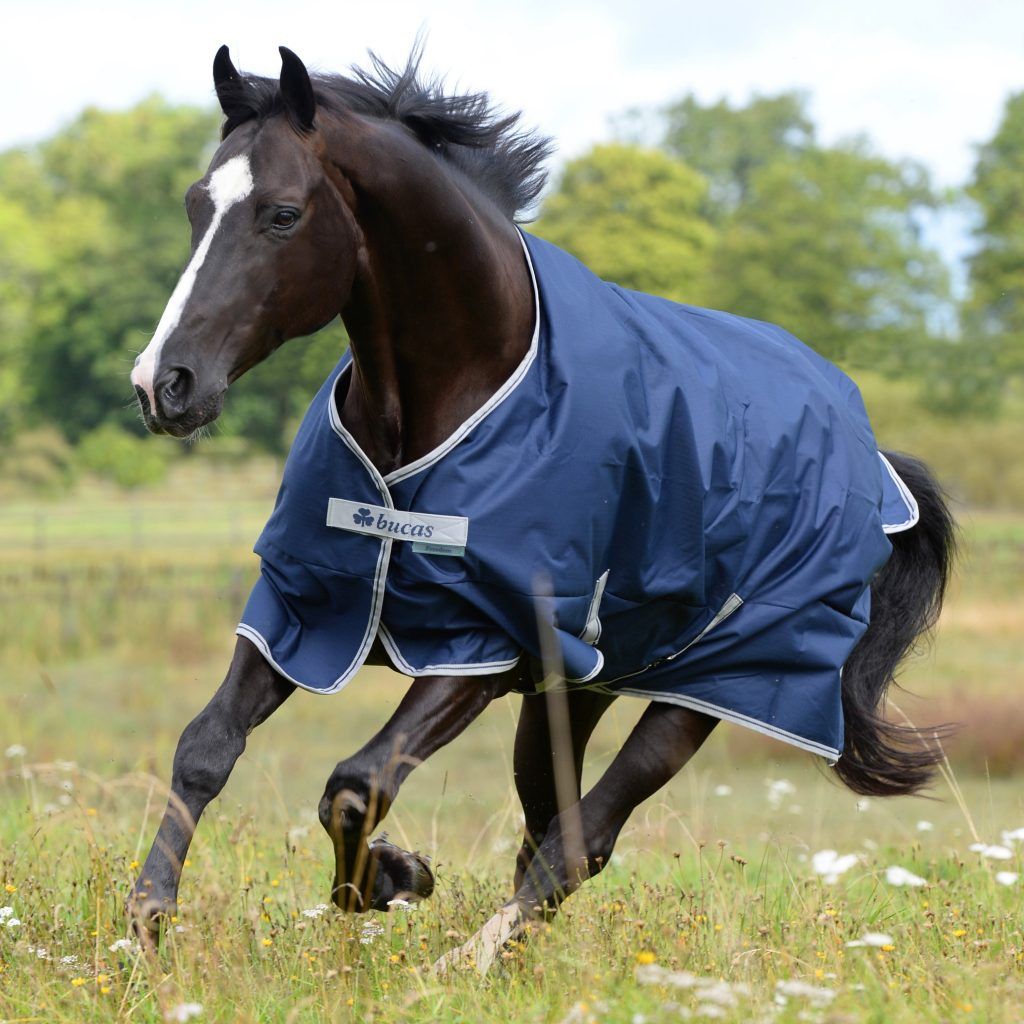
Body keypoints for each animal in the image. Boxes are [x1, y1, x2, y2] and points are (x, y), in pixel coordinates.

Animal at [127, 45, 956, 972]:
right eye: (197, 203)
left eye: (281, 213)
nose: (164, 384)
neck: (457, 393)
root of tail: (871, 458)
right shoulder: (304, 603)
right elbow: (206, 746)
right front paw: (146, 923)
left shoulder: (482, 645)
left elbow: (356, 785)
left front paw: (394, 876)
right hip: (578, 689)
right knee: (550, 827)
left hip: (714, 688)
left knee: (581, 838)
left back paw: (468, 962)